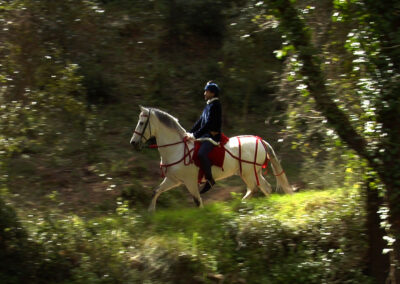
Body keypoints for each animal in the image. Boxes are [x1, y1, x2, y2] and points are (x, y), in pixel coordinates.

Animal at [130, 106, 292, 211]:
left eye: (142, 123)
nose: (133, 143)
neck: (177, 149)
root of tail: (261, 141)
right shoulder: (173, 180)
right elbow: (156, 191)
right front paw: (151, 212)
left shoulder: (190, 182)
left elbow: (197, 202)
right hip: (253, 172)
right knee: (266, 188)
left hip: (248, 173)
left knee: (253, 189)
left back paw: (240, 205)